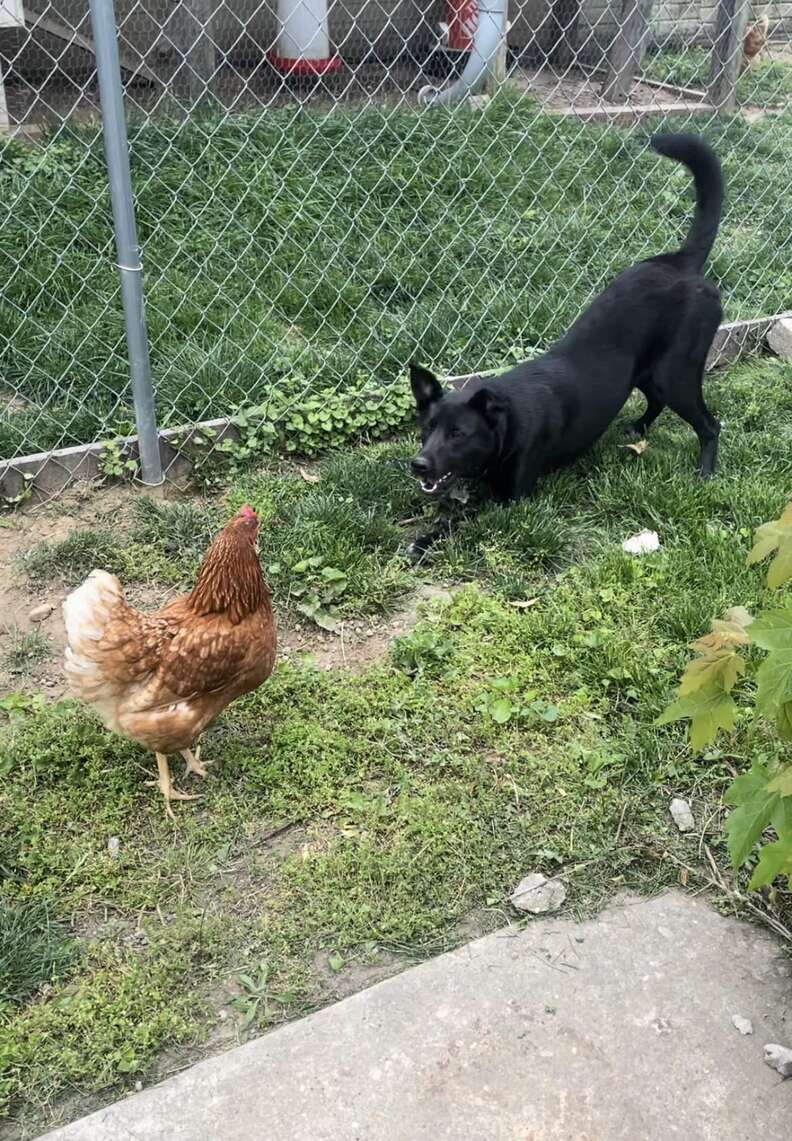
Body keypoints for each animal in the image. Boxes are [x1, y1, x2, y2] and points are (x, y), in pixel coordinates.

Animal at [408, 132, 725, 543]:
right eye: (427, 429)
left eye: (458, 433)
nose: (418, 464)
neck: (506, 425)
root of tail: (681, 262)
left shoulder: (513, 502)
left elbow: (462, 523)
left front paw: (425, 539)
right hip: (645, 371)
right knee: (655, 400)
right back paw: (639, 427)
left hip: (678, 374)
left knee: (710, 426)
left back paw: (704, 474)